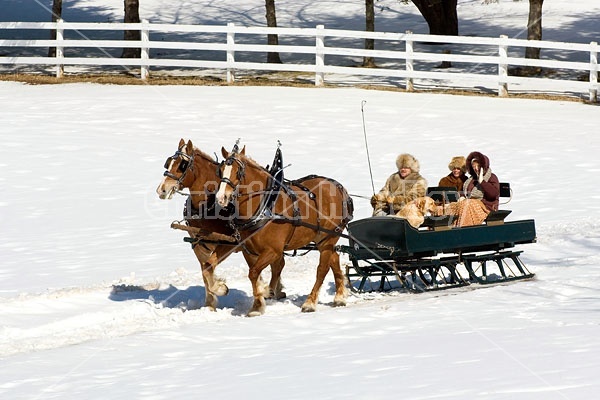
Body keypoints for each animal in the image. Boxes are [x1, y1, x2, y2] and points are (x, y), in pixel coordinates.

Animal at [155, 139, 286, 310]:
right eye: (169, 162)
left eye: (182, 165)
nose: (162, 190)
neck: (208, 205)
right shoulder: (199, 244)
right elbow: (205, 270)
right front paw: (210, 304)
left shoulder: (229, 243)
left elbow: (210, 267)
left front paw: (221, 288)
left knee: (276, 263)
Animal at [216, 144, 354, 316]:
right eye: (221, 170)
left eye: (238, 172)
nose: (221, 198)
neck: (266, 206)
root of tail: (338, 186)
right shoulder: (249, 250)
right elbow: (255, 274)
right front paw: (261, 298)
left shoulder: (273, 250)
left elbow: (254, 272)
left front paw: (260, 302)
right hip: (324, 239)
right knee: (334, 259)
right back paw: (339, 296)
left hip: (328, 237)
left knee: (322, 269)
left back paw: (310, 303)